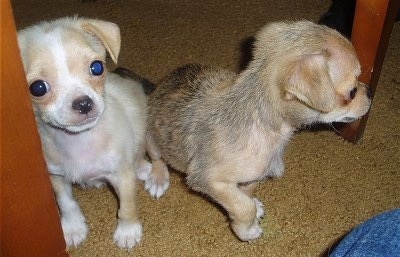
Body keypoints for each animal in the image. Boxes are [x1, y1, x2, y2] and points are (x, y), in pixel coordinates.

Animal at [16, 16, 167, 248]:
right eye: (38, 88)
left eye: (96, 67)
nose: (83, 103)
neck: (80, 141)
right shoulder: (56, 176)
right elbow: (66, 202)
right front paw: (73, 227)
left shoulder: (122, 177)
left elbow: (127, 207)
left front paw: (128, 231)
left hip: (151, 133)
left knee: (156, 157)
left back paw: (154, 176)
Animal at [147, 21, 372, 241]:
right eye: (352, 92)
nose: (370, 92)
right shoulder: (208, 180)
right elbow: (243, 207)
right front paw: (247, 230)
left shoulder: (254, 174)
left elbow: (247, 193)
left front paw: (254, 205)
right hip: (152, 143)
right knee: (157, 159)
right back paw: (158, 179)